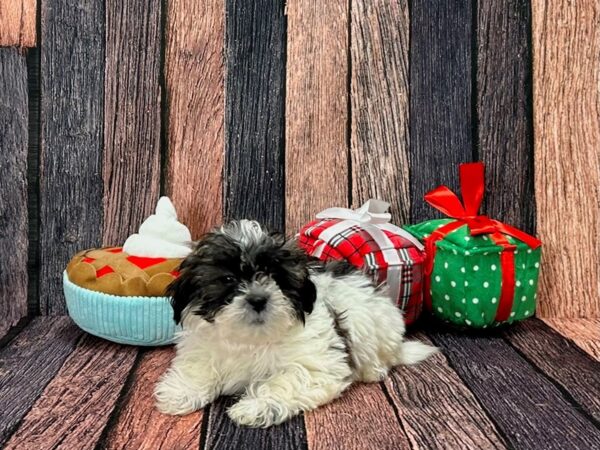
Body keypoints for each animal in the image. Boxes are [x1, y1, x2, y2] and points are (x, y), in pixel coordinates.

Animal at [155, 220, 436, 428]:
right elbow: (198, 367)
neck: (252, 338)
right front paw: (180, 392)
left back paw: (373, 370)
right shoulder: (202, 346)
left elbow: (288, 380)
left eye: (275, 277)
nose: (258, 299)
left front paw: (255, 407)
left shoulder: (316, 364)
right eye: (228, 279)